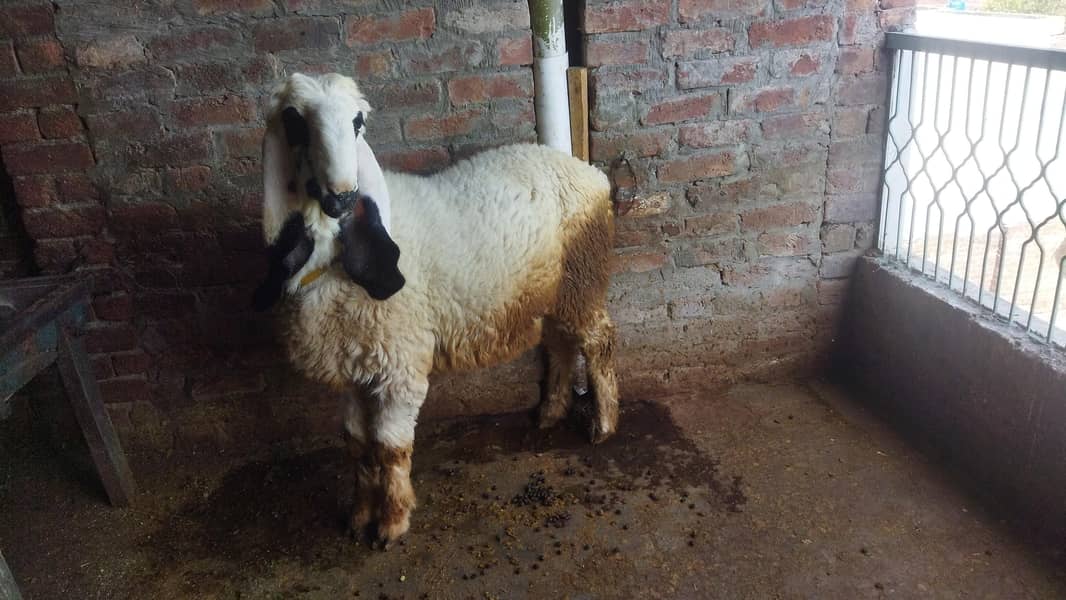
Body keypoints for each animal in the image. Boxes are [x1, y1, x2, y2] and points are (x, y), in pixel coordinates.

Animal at [257, 73, 619, 547]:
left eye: (357, 122)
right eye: (294, 120)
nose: (343, 197)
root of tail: (587, 171)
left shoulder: (399, 366)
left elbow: (389, 448)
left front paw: (391, 523)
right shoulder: (354, 366)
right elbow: (357, 444)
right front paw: (358, 515)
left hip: (582, 278)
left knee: (598, 343)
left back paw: (603, 425)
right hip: (552, 290)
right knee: (560, 344)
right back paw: (549, 413)